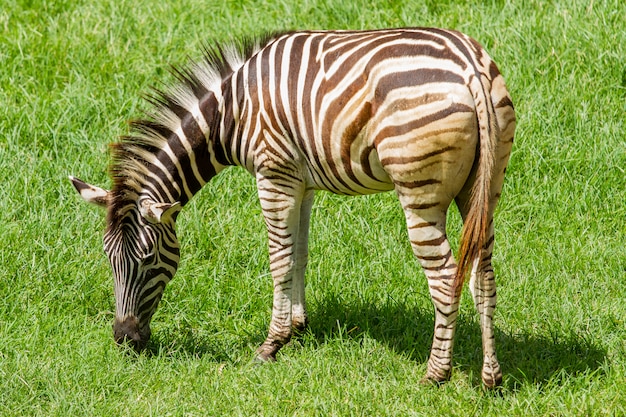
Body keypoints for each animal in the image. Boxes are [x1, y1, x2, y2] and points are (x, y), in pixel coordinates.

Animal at [70, 28, 516, 386]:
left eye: (147, 259)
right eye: (108, 259)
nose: (125, 340)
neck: (230, 115)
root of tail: (469, 66)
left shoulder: (274, 175)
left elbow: (279, 260)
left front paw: (272, 343)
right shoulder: (302, 183)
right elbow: (300, 253)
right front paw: (299, 328)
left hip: (420, 191)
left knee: (445, 277)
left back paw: (435, 373)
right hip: (484, 187)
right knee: (483, 274)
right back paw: (490, 377)